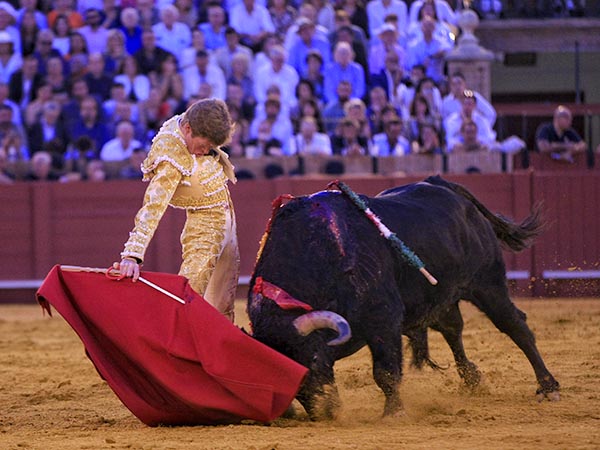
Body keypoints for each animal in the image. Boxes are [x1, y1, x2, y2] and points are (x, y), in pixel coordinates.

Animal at [247, 176, 556, 418]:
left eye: (311, 358)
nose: (326, 413)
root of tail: (445, 185)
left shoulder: (384, 318)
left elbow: (385, 371)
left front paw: (393, 413)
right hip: (440, 294)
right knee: (452, 329)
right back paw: (472, 380)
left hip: (487, 283)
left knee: (515, 325)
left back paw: (548, 386)